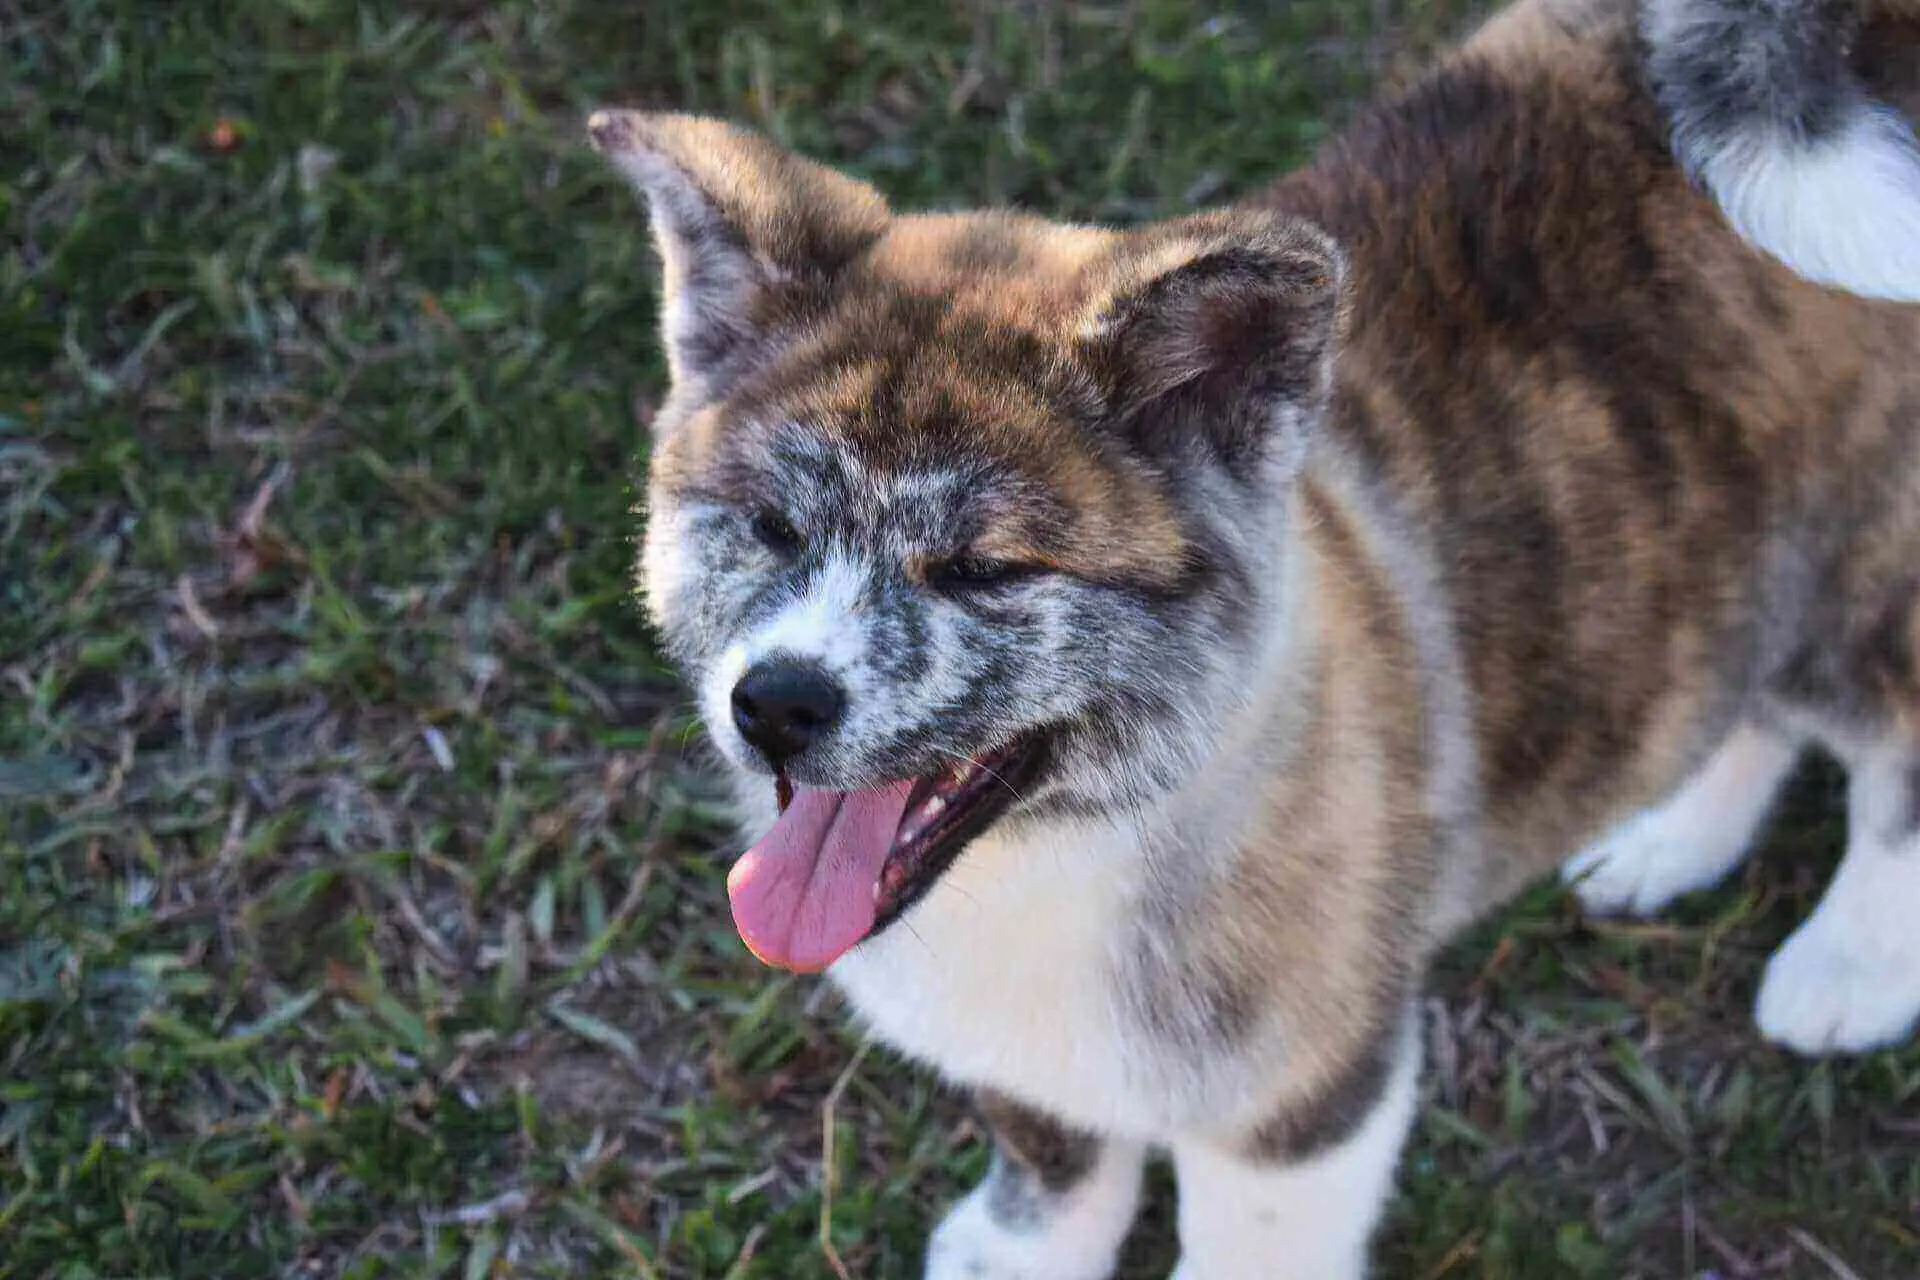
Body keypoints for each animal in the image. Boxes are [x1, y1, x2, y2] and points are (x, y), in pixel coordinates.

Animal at [583, 0, 1920, 1274]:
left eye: (983, 568)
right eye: (770, 523)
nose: (776, 704)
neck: (1078, 847)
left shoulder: (1303, 1091)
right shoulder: (1024, 1046)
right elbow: (1054, 1143)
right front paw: (1026, 1249)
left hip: (1866, 579)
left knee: (1890, 750)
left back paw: (1847, 966)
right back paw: (1671, 836)